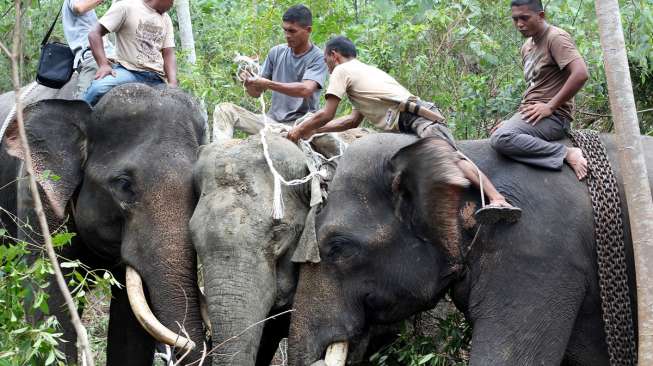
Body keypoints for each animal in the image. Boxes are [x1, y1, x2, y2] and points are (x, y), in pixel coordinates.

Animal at [0, 83, 208, 366]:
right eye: (124, 185)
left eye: (199, 188)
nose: (190, 342)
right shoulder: (37, 195)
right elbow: (48, 301)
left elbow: (130, 328)